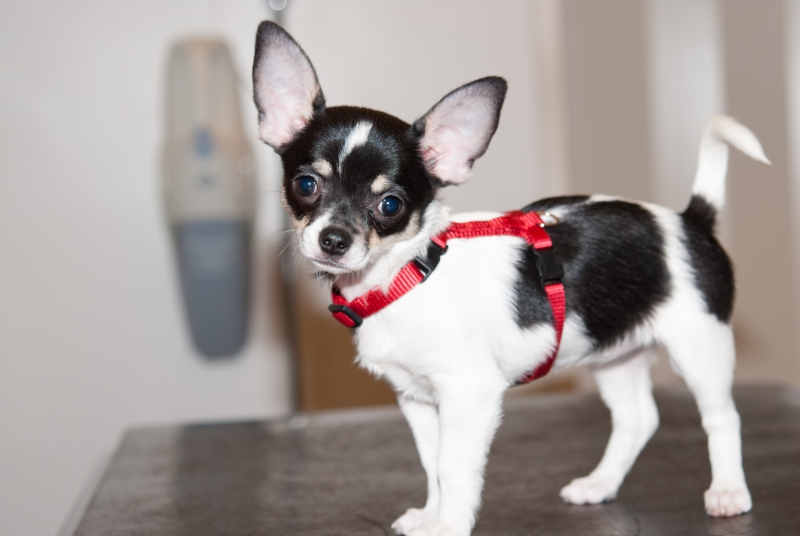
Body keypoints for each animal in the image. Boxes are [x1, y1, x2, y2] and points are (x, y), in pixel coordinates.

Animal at [251, 21, 768, 536]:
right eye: (305, 184)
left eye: (390, 204)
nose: (333, 239)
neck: (410, 276)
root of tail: (690, 220)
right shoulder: (417, 398)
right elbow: (432, 461)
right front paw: (431, 514)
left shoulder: (469, 394)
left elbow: (453, 467)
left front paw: (450, 525)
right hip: (614, 353)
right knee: (637, 419)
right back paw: (599, 484)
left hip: (699, 347)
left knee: (723, 418)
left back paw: (728, 491)